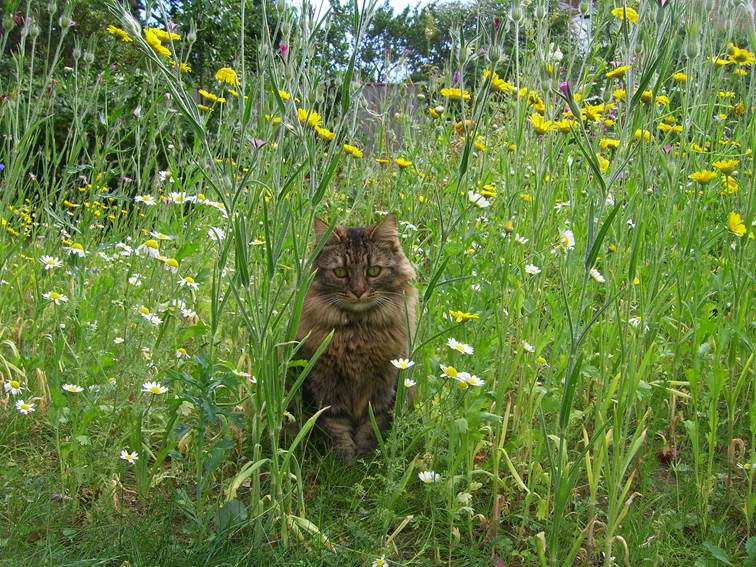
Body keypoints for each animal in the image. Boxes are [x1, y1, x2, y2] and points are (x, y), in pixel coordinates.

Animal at [296, 213, 420, 462]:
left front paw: (365, 457)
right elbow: (337, 427)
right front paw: (345, 460)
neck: (357, 334)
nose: (358, 291)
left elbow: (372, 425)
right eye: (340, 272)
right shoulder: (327, 385)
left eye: (373, 271)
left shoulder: (383, 386)